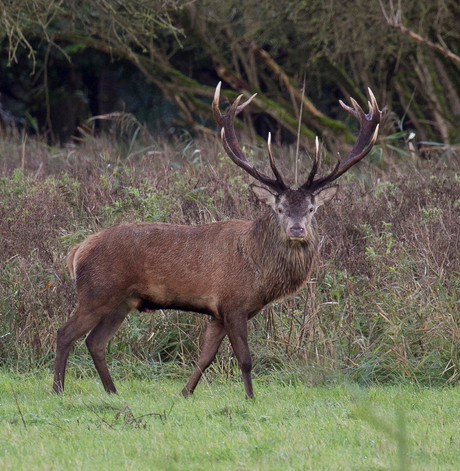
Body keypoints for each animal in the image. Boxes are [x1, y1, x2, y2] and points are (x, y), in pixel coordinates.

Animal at [53, 82, 380, 398]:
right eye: (280, 208)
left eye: (311, 209)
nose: (297, 230)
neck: (259, 272)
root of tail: (77, 250)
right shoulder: (233, 303)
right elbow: (245, 358)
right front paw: (249, 398)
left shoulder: (218, 313)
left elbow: (206, 357)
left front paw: (185, 393)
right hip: (97, 291)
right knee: (65, 333)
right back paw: (58, 389)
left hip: (124, 300)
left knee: (95, 341)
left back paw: (112, 391)